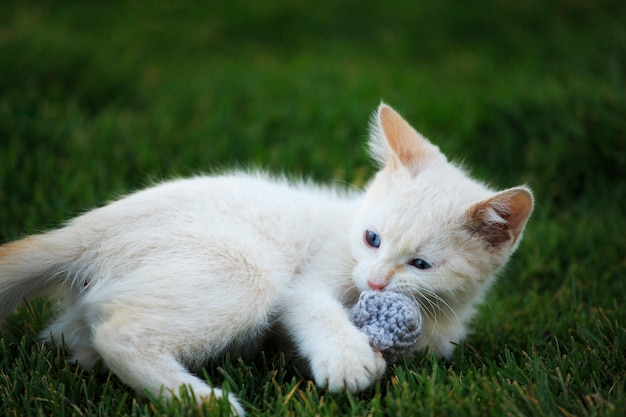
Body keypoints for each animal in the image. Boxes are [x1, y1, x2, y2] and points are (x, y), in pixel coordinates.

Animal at [0, 104, 532, 412]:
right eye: (372, 239)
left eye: (421, 265)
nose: (377, 284)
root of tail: (88, 227)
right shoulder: (311, 279)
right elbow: (312, 307)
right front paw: (348, 360)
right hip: (247, 269)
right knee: (118, 332)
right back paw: (202, 402)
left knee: (85, 333)